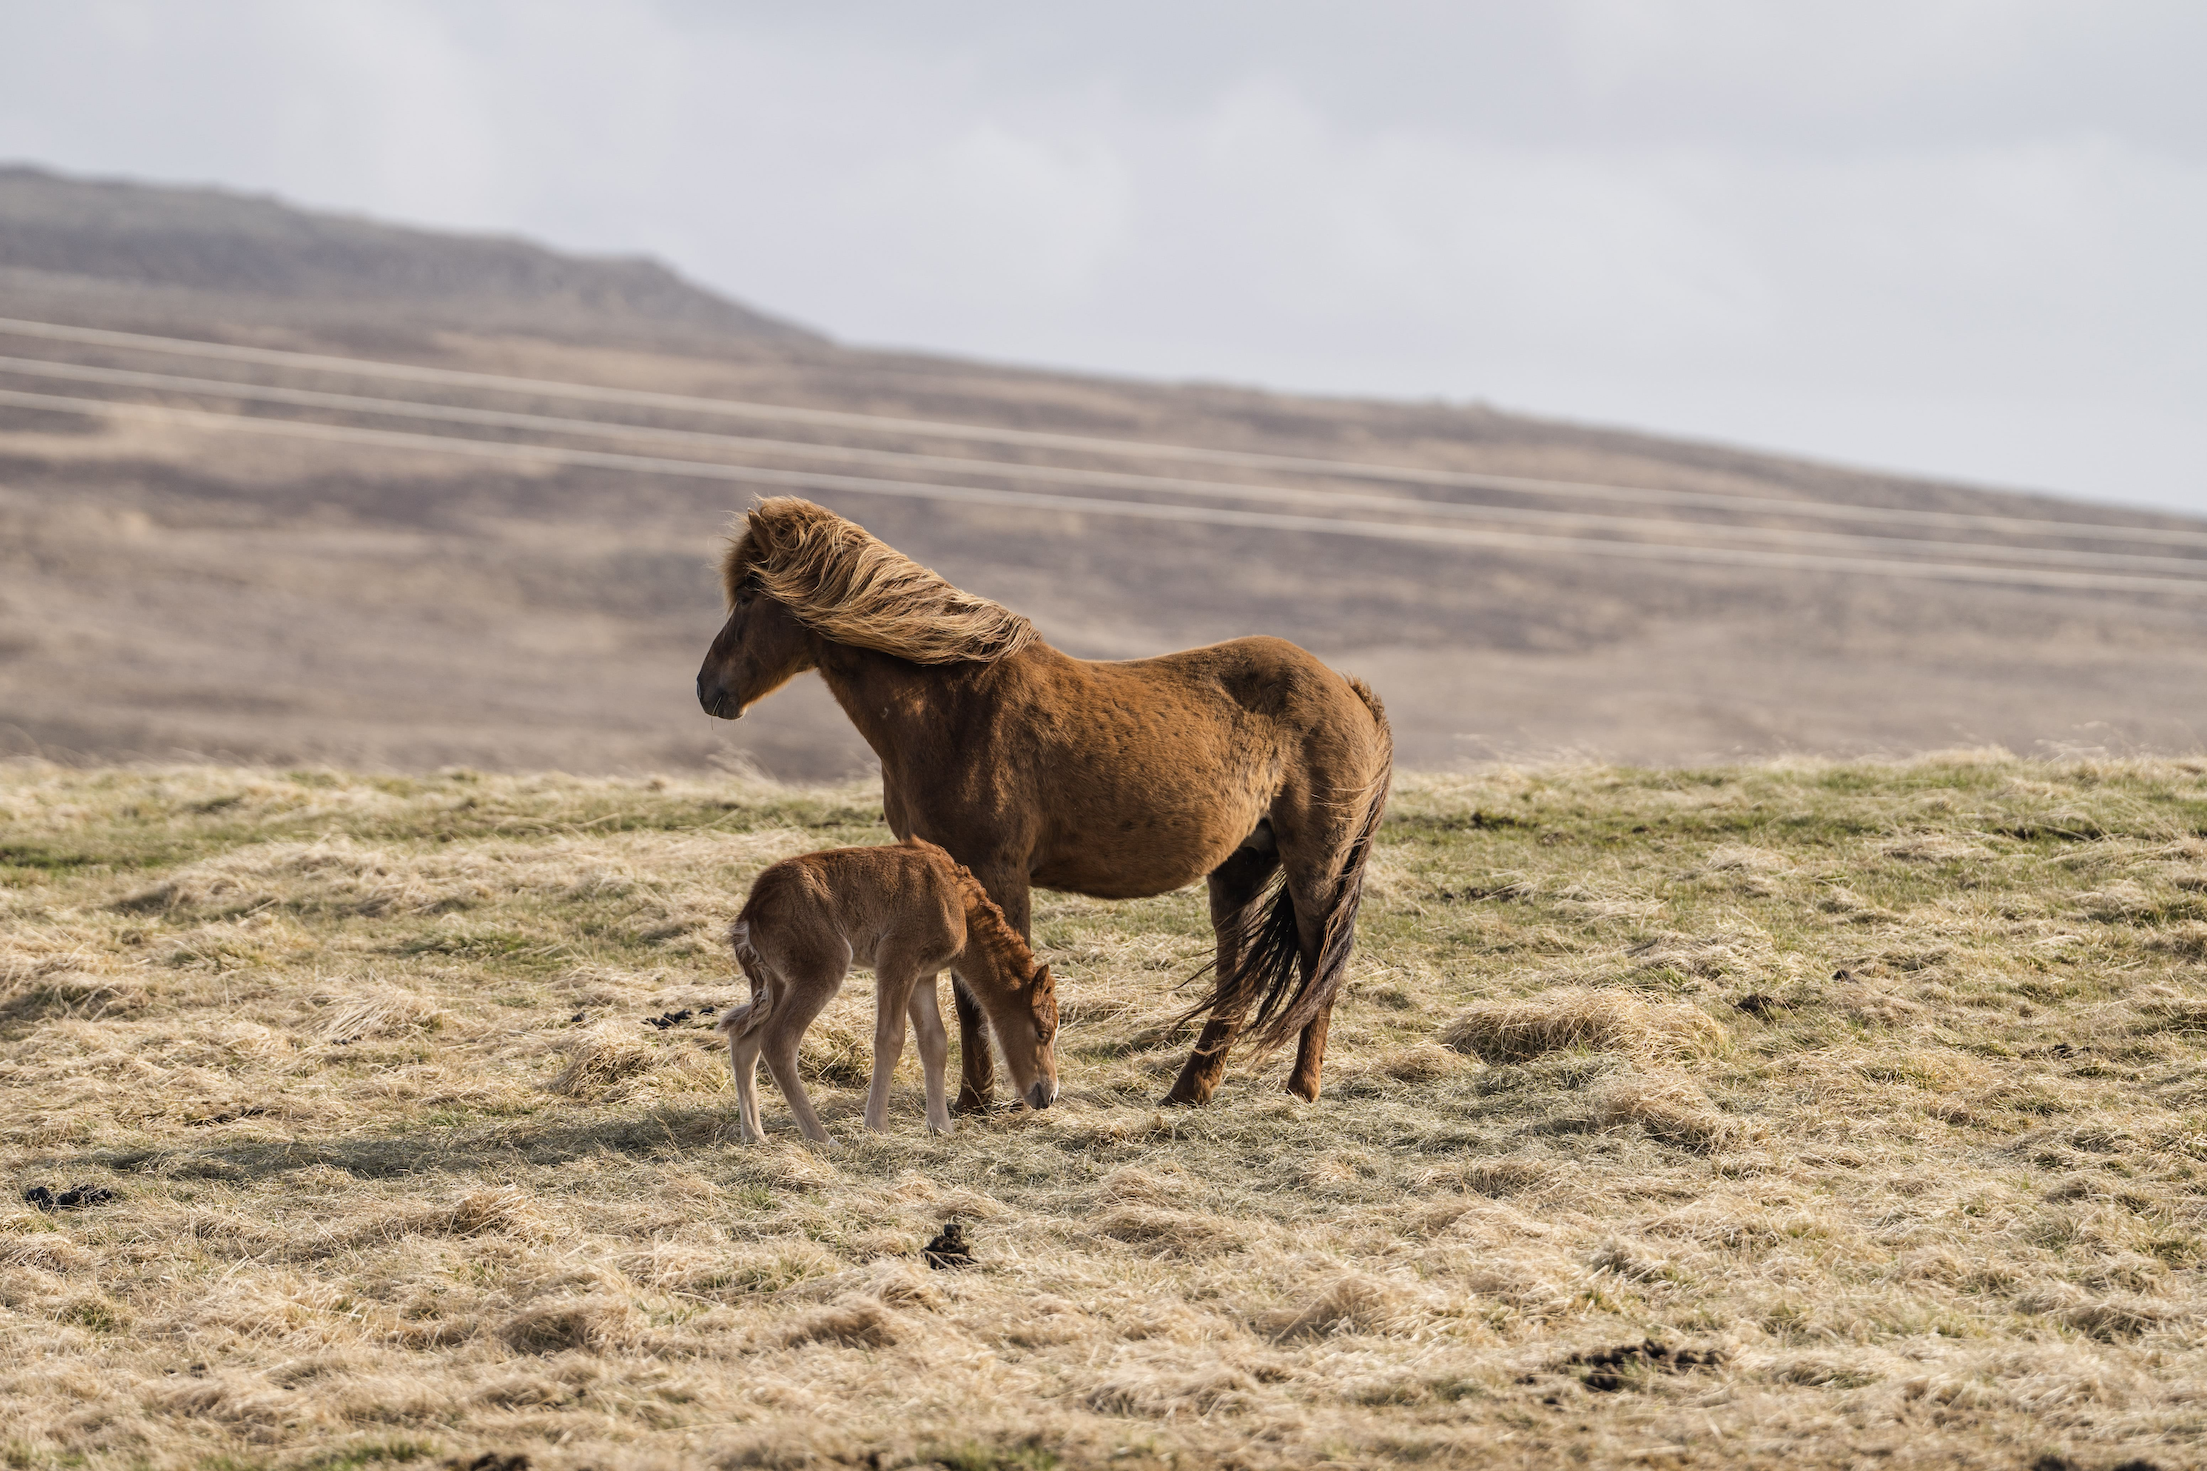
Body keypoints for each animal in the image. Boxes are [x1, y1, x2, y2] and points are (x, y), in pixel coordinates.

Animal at [697, 500, 1385, 1111]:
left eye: (752, 591)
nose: (709, 689)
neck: (953, 709)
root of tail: (1346, 689)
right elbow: (962, 988)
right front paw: (975, 1099)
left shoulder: (999, 872)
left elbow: (982, 992)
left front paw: (979, 1099)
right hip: (1239, 870)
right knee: (1235, 982)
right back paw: (1191, 1092)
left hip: (1315, 871)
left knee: (1319, 970)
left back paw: (1300, 1091)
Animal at [723, 833, 1059, 1146]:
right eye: (1043, 1032)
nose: (1050, 1094)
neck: (957, 901)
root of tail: (752, 910)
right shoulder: (896, 957)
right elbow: (890, 1038)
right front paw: (877, 1126)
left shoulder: (924, 975)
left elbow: (935, 1041)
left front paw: (941, 1127)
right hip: (823, 968)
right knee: (779, 1040)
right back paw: (822, 1138)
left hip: (778, 982)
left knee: (744, 1034)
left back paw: (754, 1135)